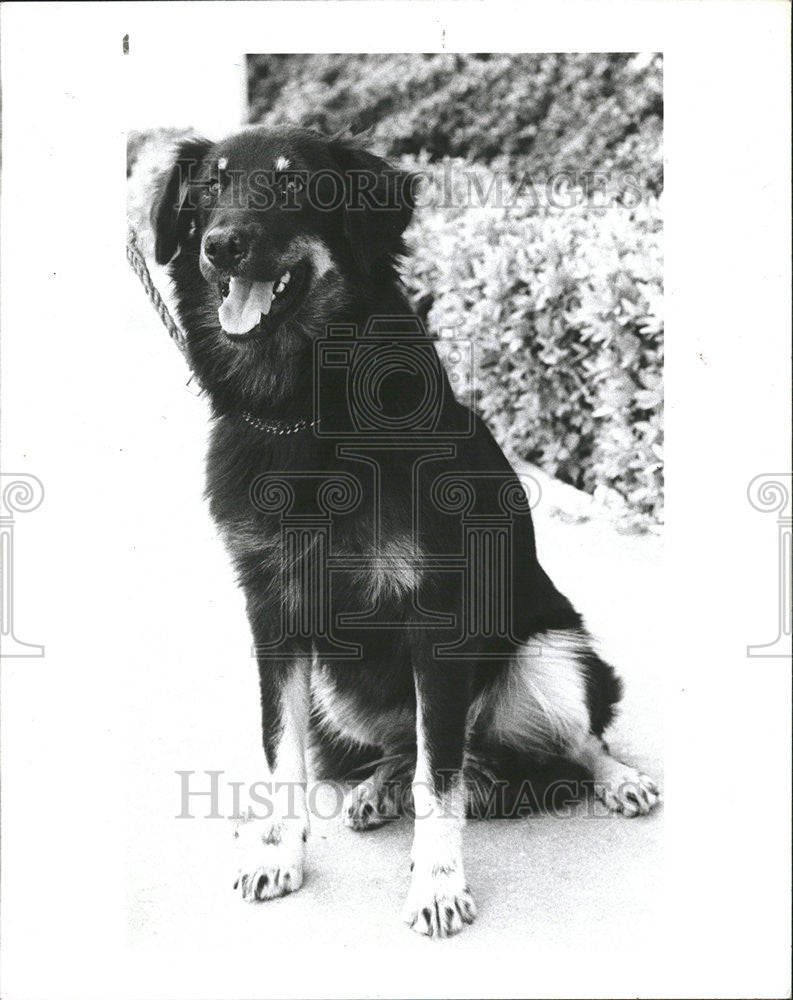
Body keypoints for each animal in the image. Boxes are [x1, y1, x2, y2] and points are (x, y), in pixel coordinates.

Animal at [152, 125, 660, 936]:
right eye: (209, 186)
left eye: (295, 185)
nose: (220, 246)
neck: (310, 411)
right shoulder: (273, 616)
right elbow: (281, 753)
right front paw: (277, 851)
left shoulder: (436, 621)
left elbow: (438, 781)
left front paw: (436, 883)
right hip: (337, 696)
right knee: (400, 746)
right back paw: (375, 788)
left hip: (551, 654)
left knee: (573, 738)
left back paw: (617, 777)